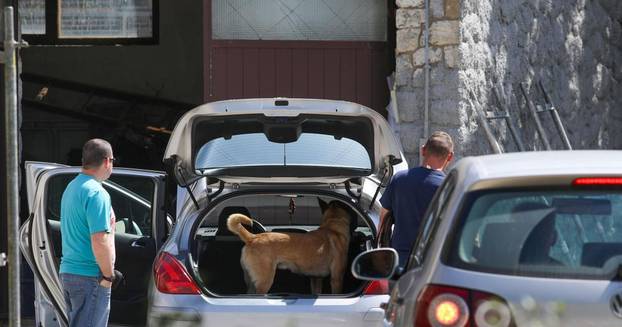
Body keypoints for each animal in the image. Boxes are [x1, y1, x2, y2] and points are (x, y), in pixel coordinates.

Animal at [228, 199, 356, 296]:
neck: (332, 226)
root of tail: (253, 237)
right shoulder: (337, 279)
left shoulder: (316, 278)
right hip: (264, 281)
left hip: (250, 282)